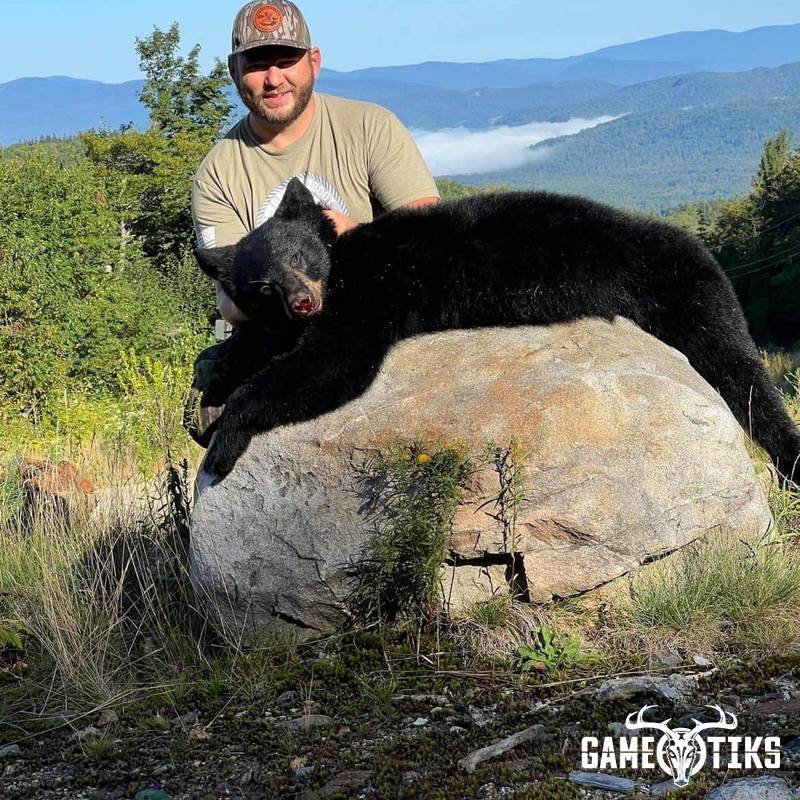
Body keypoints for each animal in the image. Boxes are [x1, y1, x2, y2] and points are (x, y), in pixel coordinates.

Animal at [194, 178, 800, 483]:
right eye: (262, 286)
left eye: (301, 256)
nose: (302, 300)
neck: (344, 267)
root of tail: (697, 246)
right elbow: (273, 346)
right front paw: (219, 366)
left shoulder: (368, 297)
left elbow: (330, 367)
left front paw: (224, 436)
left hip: (686, 291)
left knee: (740, 371)